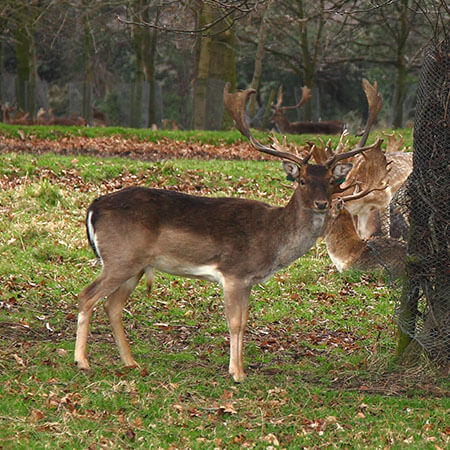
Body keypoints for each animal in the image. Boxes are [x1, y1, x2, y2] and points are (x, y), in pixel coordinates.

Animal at [74, 82, 380, 382]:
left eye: (331, 181)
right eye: (302, 180)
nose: (322, 204)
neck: (272, 239)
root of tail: (94, 206)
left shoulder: (248, 281)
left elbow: (245, 322)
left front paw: (240, 369)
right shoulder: (234, 272)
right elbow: (234, 323)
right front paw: (237, 373)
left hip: (135, 265)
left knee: (112, 305)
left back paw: (130, 362)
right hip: (120, 257)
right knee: (87, 295)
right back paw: (82, 361)